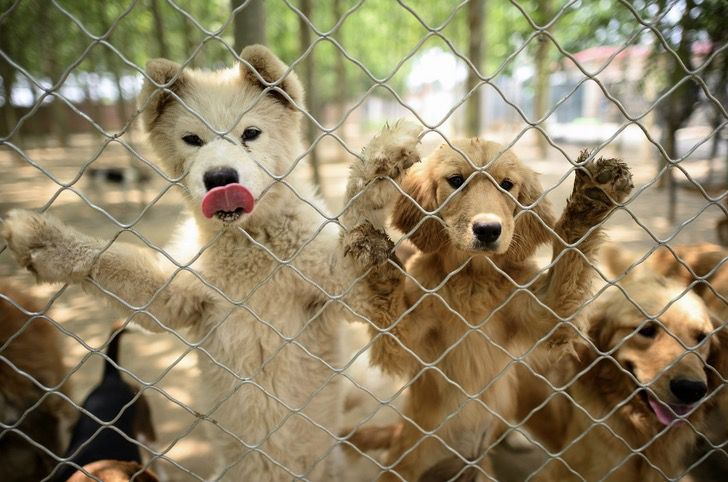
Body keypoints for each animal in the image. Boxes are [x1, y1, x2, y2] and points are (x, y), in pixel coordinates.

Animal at [344, 141, 636, 480]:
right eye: (456, 180)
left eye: (506, 185)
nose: (487, 230)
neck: (473, 279)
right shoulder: (405, 343)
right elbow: (389, 311)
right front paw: (379, 263)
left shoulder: (548, 314)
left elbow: (570, 257)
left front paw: (590, 200)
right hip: (404, 467)